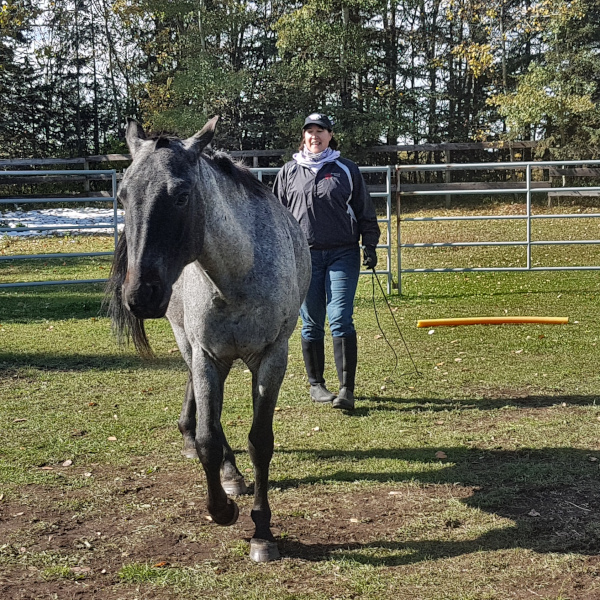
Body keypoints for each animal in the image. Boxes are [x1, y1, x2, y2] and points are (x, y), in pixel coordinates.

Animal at [108, 118, 312, 564]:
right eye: (122, 194)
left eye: (182, 195)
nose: (140, 294)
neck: (236, 276)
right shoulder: (206, 356)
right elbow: (207, 439)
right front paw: (223, 508)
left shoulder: (273, 358)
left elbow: (260, 441)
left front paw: (262, 532)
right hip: (191, 344)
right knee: (207, 418)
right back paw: (226, 470)